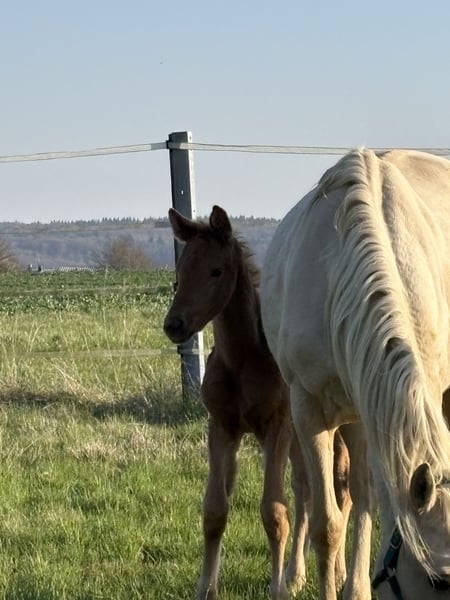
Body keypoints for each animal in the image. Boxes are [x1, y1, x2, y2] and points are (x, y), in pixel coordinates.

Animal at [163, 205, 313, 599]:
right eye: (180, 271)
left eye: (216, 271)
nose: (174, 325)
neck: (242, 360)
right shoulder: (222, 427)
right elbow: (214, 510)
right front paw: (206, 589)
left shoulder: (276, 426)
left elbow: (274, 512)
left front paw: (277, 589)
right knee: (306, 489)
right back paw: (298, 572)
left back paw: (306, 574)